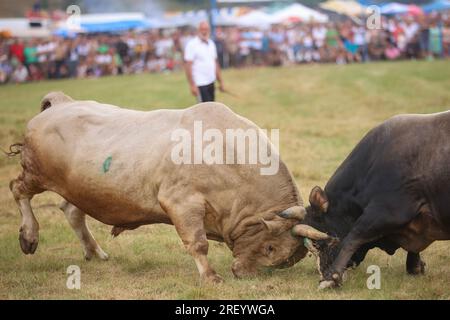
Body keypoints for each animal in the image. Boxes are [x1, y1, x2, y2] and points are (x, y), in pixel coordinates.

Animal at [286, 113, 450, 290]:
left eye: (318, 244)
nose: (323, 270)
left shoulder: (388, 211)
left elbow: (353, 236)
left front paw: (331, 277)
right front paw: (416, 266)